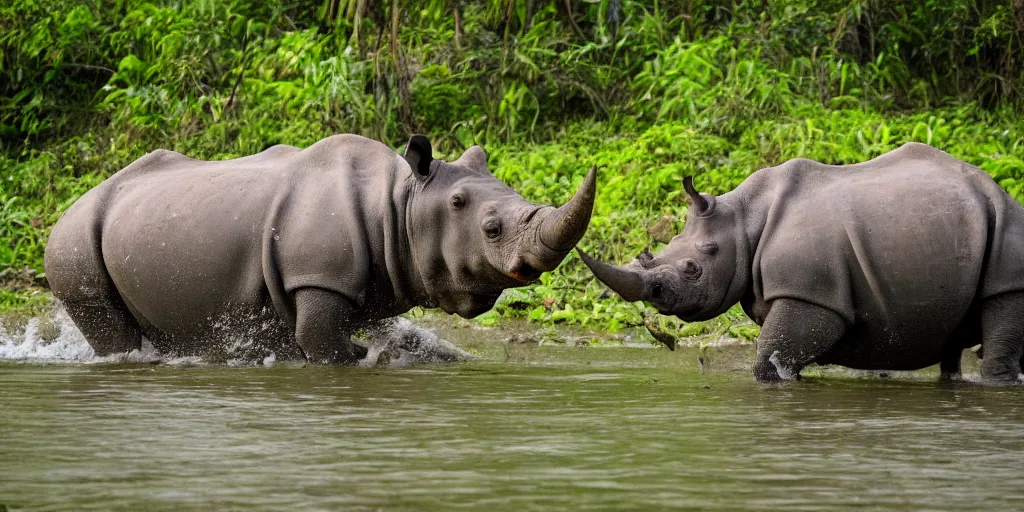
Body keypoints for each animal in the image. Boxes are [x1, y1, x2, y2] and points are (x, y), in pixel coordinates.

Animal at [44, 134, 598, 362]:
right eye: (490, 228)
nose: (529, 266)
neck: (399, 204)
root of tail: (65, 210)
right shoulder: (318, 276)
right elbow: (325, 345)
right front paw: (362, 357)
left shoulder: (370, 278)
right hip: (72, 244)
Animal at [577, 142, 1024, 382]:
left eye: (692, 269)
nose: (655, 300)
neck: (743, 220)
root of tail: (999, 191)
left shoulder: (810, 293)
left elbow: (771, 356)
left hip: (1006, 229)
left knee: (1004, 297)